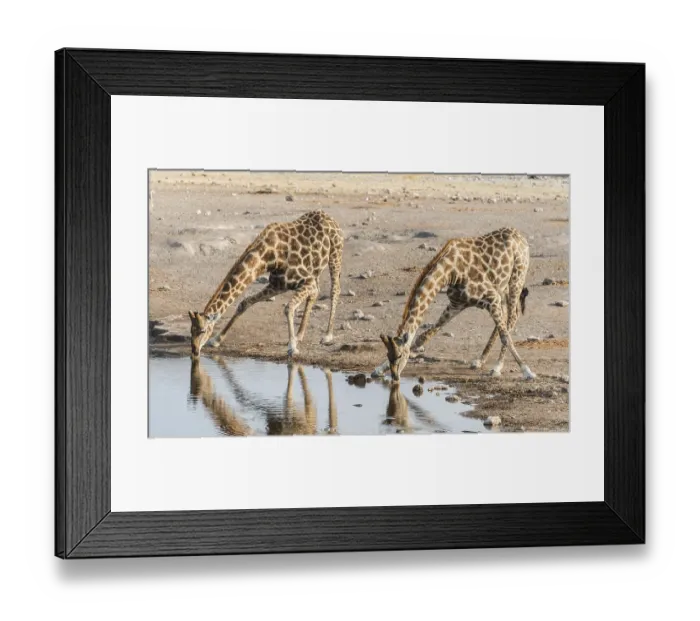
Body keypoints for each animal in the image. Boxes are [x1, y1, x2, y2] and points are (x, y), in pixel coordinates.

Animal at [188, 211, 344, 359]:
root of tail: (329, 217)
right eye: (191, 331)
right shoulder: (278, 284)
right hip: (316, 269)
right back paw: (299, 335)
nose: (195, 351)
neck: (268, 256)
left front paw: (292, 347)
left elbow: (289, 308)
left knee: (334, 290)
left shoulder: (306, 280)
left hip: (335, 255)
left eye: (203, 331)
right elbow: (244, 303)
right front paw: (217, 339)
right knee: (315, 293)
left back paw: (327, 335)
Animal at [373, 227, 535, 382]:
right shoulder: (456, 304)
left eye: (400, 356)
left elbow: (505, 336)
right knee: (505, 319)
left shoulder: (491, 297)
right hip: (502, 288)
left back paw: (497, 366)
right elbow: (423, 337)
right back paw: (480, 360)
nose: (395, 378)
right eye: (388, 355)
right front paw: (378, 370)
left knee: (512, 318)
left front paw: (527, 371)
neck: (450, 272)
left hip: (516, 280)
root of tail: (520, 236)